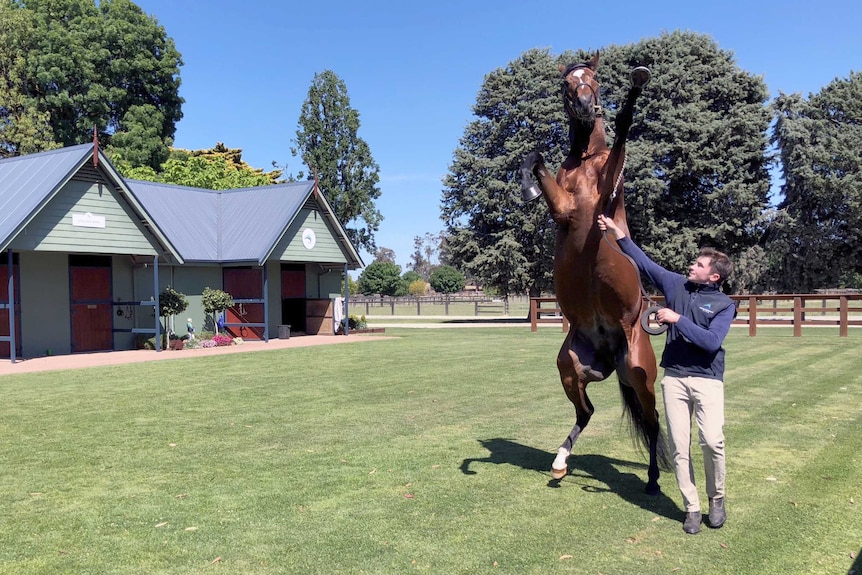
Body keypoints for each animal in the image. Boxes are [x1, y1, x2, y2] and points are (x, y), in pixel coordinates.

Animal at [516, 53, 672, 496]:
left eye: (596, 81)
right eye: (566, 84)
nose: (586, 107)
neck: (586, 163)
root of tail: (609, 351)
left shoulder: (607, 190)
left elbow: (623, 136)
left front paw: (635, 90)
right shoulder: (563, 208)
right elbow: (534, 158)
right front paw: (528, 185)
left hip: (639, 373)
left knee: (653, 421)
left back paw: (652, 480)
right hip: (570, 368)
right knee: (586, 411)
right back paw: (560, 463)